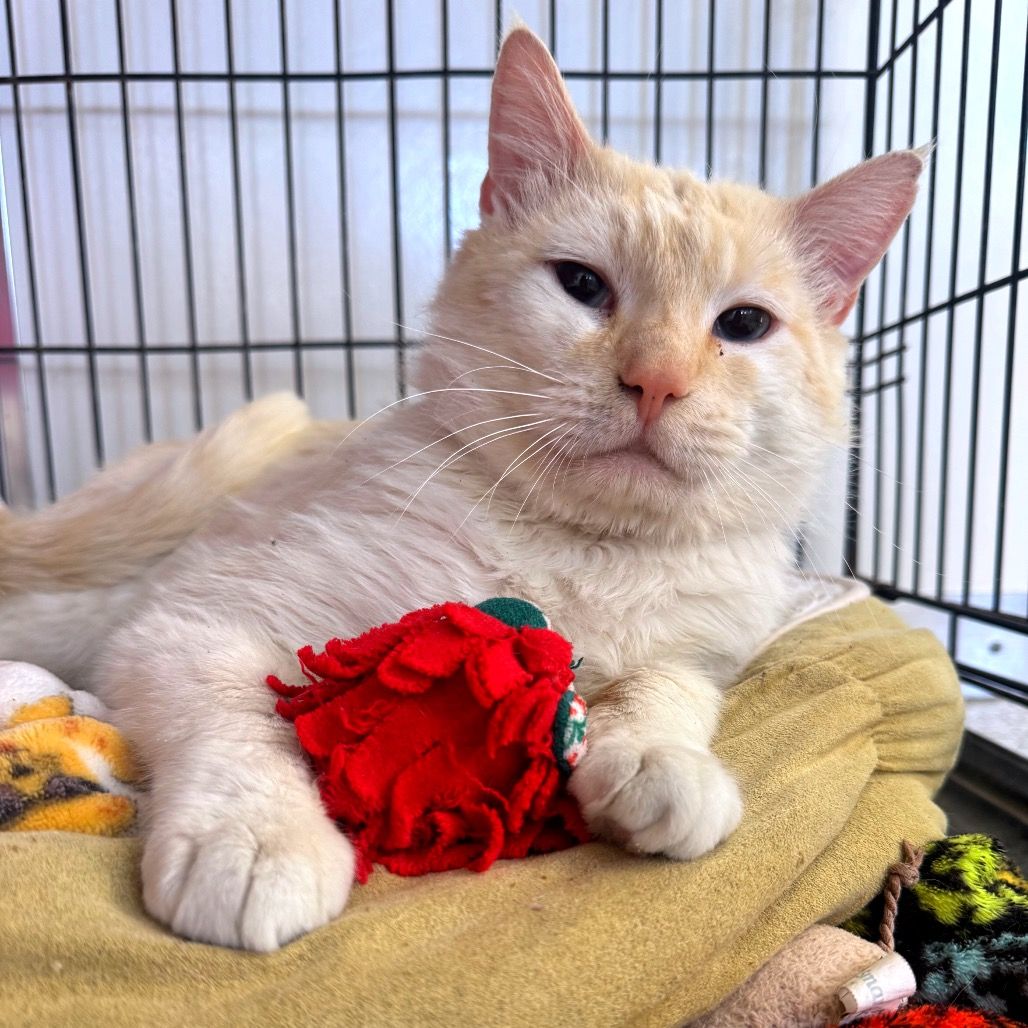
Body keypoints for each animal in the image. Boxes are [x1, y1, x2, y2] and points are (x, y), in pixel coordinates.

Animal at [0, 26, 924, 951]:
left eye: (743, 324)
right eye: (582, 284)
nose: (657, 380)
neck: (592, 552)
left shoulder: (708, 645)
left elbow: (669, 682)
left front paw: (658, 760)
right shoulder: (186, 622)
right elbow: (238, 712)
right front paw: (255, 837)